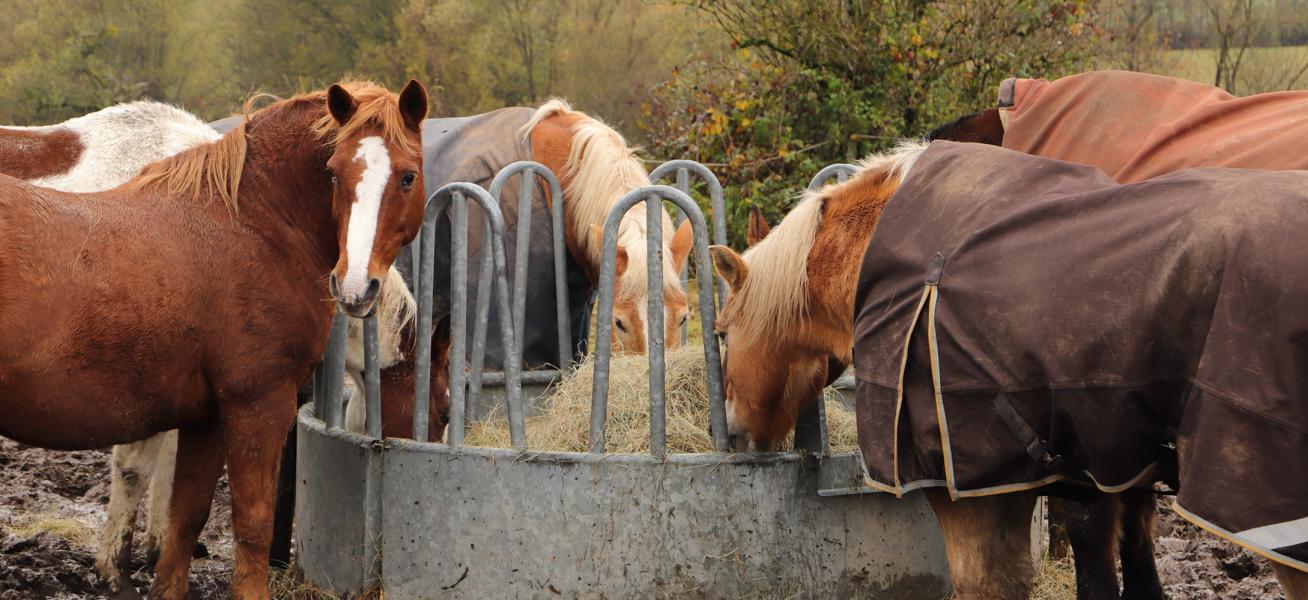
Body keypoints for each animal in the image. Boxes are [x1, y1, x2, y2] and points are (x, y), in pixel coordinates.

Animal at [0, 81, 429, 600]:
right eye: (332, 174)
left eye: (407, 177)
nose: (355, 287)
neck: (252, 224)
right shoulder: (258, 404)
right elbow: (251, 521)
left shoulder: (202, 416)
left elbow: (185, 517)